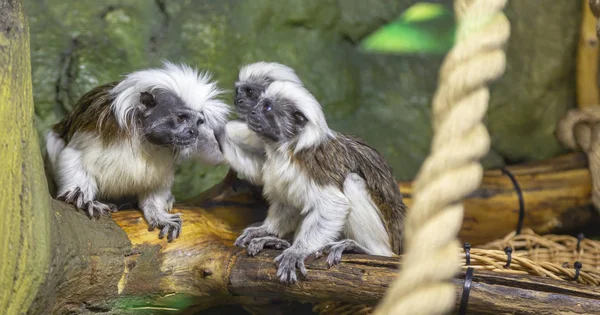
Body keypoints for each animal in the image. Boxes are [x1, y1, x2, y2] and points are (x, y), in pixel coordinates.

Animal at [45, 63, 230, 243]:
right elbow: (72, 155)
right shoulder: (99, 126)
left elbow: (156, 183)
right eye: (181, 118)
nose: (193, 132)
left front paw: (158, 214)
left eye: (198, 122)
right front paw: (84, 200)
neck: (145, 140)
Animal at [230, 81, 408, 284]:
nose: (252, 113)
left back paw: (363, 249)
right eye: (259, 103)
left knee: (352, 182)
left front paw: (297, 251)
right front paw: (265, 231)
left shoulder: (314, 168)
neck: (287, 149)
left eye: (267, 107)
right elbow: (287, 204)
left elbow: (333, 205)